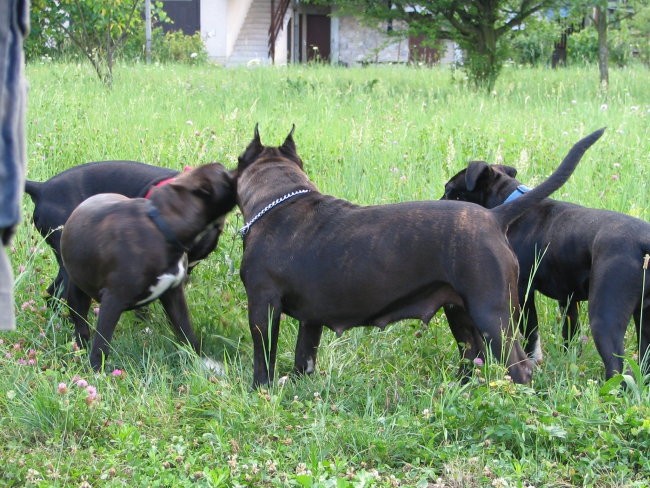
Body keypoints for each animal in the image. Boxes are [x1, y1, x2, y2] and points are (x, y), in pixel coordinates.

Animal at [60, 163, 235, 370]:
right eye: (226, 175)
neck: (163, 228)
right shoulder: (113, 300)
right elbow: (101, 345)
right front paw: (96, 370)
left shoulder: (174, 295)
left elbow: (186, 333)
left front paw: (197, 362)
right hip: (77, 292)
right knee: (81, 325)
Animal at [440, 156, 648, 378]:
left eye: (450, 190)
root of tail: (644, 242)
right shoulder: (568, 300)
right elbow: (570, 335)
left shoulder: (523, 292)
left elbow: (531, 332)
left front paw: (534, 361)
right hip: (644, 318)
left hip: (605, 318)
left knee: (617, 367)